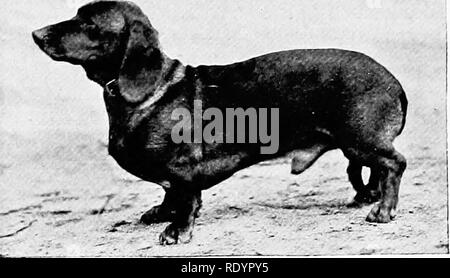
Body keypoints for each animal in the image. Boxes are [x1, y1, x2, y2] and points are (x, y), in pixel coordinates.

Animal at [33, 0, 408, 244]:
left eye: (89, 23)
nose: (37, 33)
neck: (153, 91)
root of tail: (394, 83)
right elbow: (169, 194)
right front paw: (162, 212)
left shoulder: (183, 168)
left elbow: (185, 198)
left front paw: (177, 231)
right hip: (354, 146)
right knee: (368, 172)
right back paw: (367, 198)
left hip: (360, 141)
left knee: (394, 164)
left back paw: (383, 211)